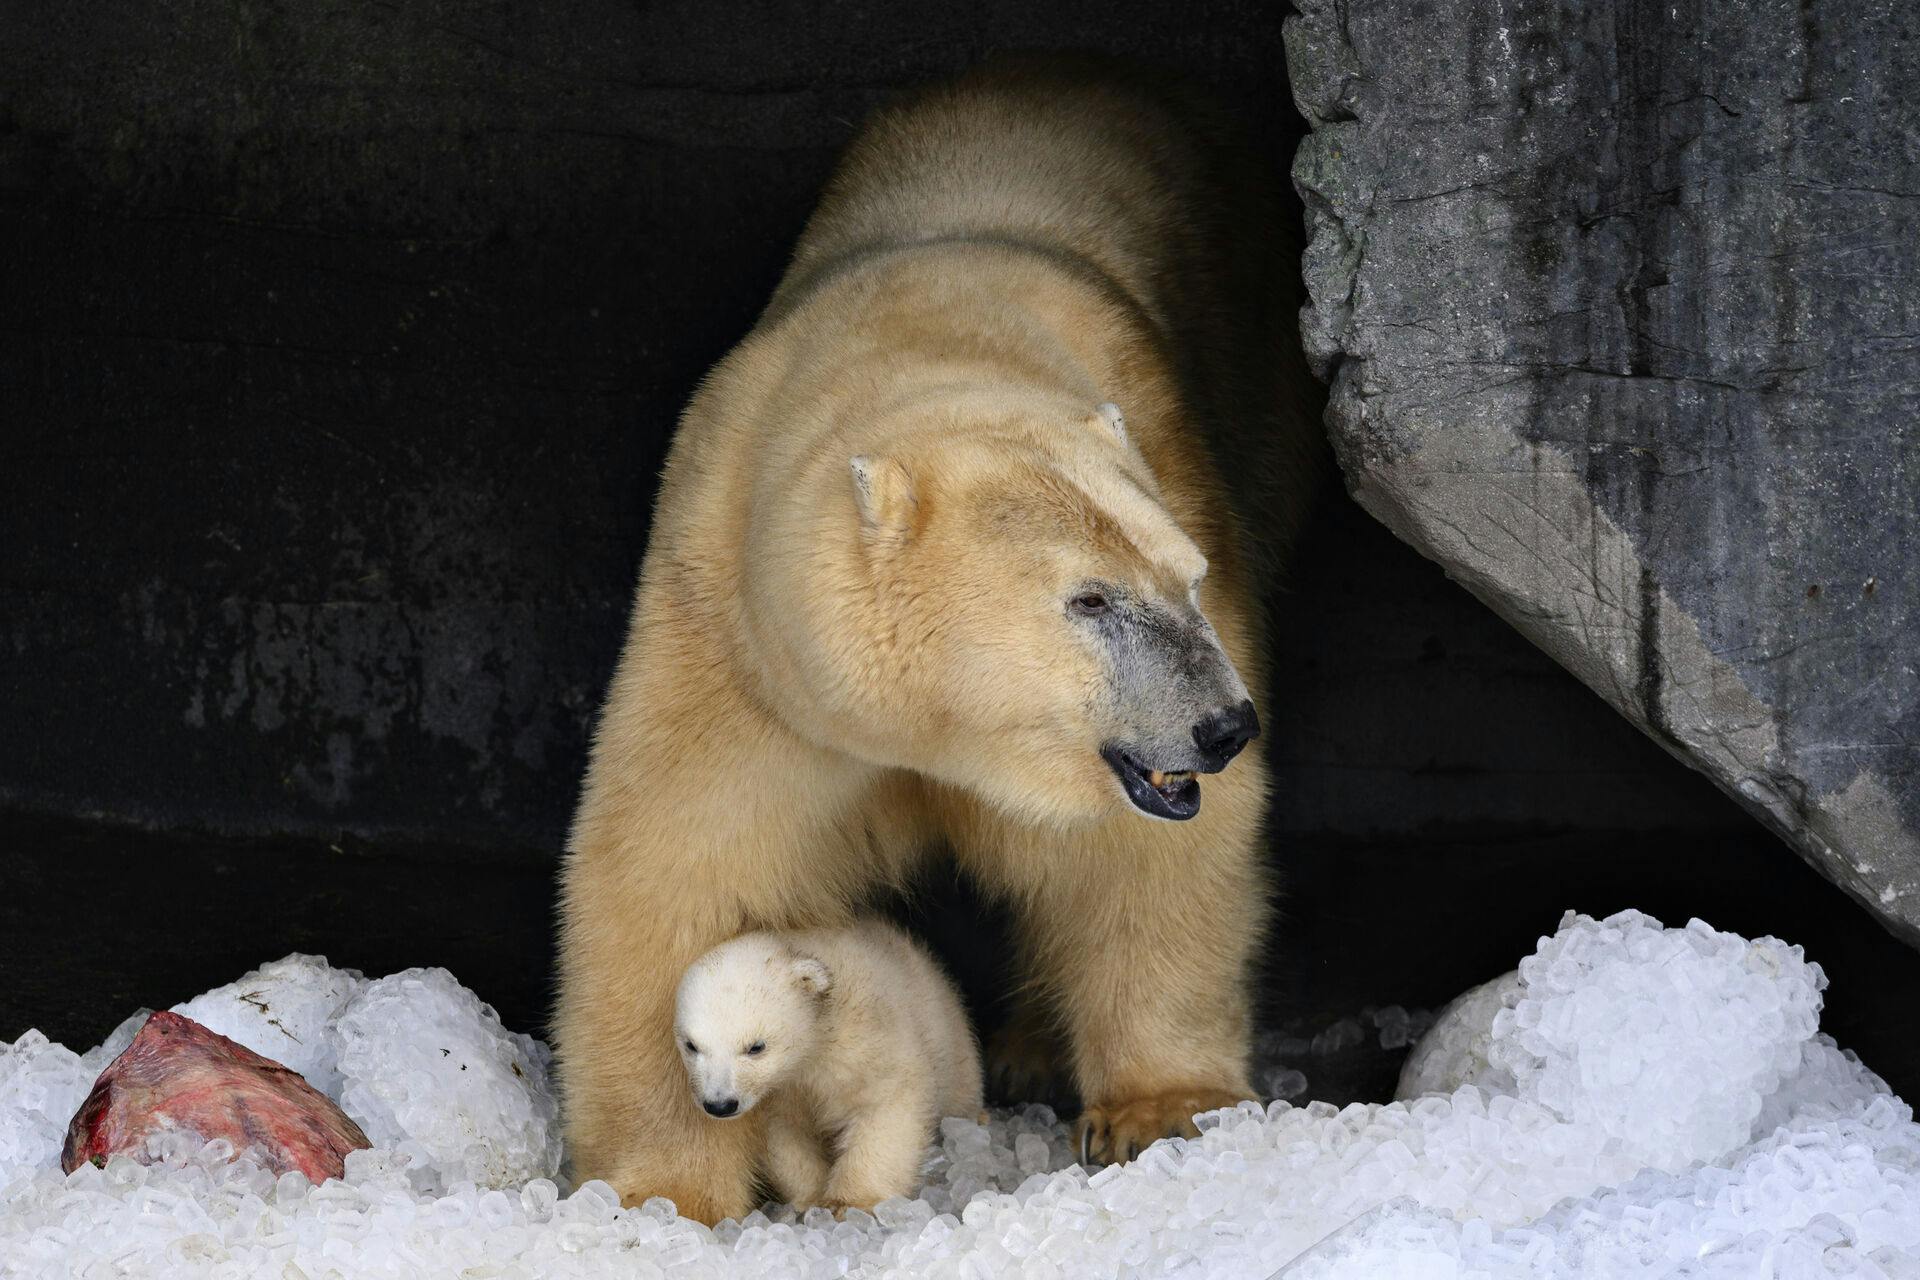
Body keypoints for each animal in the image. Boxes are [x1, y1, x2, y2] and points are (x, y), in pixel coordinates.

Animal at [560, 59, 1320, 1220]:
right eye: (1090, 600)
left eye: (1184, 577)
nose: (1223, 724)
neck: (928, 329)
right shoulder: (741, 631)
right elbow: (672, 853)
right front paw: (661, 1187)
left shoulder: (1179, 464)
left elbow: (1144, 857)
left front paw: (1161, 1108)